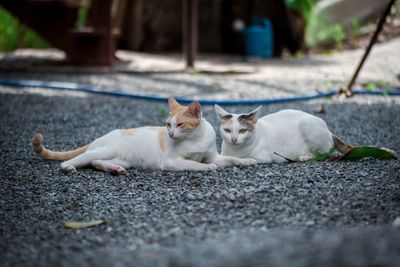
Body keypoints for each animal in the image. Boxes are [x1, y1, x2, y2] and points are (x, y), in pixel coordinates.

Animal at [31, 98, 256, 174]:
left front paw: (247, 161)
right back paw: (68, 167)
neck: (195, 139)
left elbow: (231, 159)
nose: (170, 133)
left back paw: (114, 169)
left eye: (180, 124)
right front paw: (206, 168)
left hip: (122, 159)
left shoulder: (214, 156)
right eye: (168, 125)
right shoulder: (171, 162)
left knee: (96, 162)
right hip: (104, 149)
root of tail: (100, 137)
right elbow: (195, 164)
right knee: (78, 159)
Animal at [214, 105, 352, 162]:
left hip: (308, 125)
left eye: (242, 131)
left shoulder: (263, 157)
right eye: (227, 130)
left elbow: (244, 158)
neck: (234, 150)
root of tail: (329, 130)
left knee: (326, 153)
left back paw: (303, 157)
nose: (233, 139)